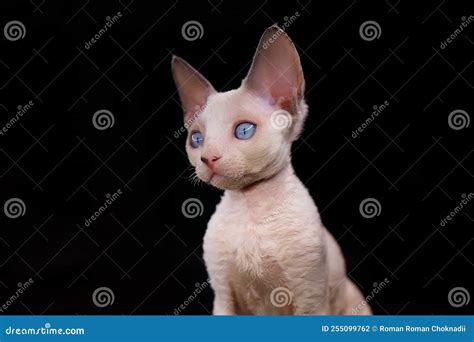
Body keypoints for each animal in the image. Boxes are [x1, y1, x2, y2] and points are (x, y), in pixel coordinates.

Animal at [172, 25, 372, 316]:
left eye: (244, 130)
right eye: (196, 139)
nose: (208, 158)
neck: (250, 207)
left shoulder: (310, 299)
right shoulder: (223, 296)